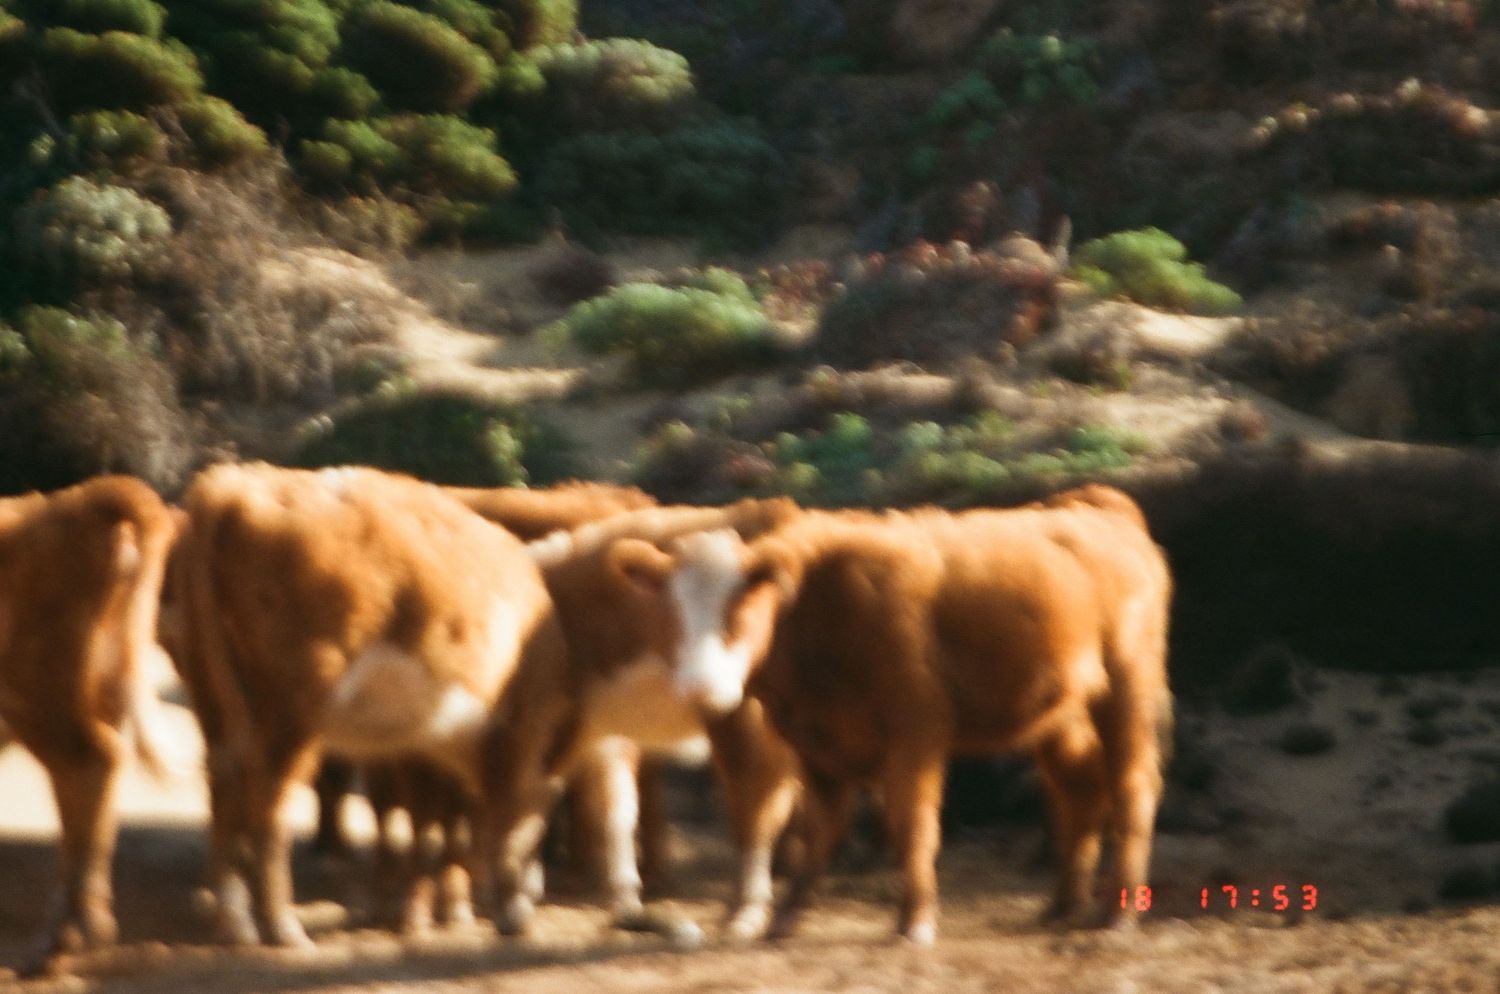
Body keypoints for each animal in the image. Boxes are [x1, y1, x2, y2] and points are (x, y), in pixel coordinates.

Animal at [169, 463, 577, 947]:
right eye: (542, 818)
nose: (528, 908)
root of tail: (236, 486)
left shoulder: (421, 746)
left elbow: (430, 820)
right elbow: (441, 820)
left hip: (213, 696)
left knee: (223, 784)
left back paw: (235, 922)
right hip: (293, 711)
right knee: (268, 796)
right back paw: (282, 926)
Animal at [525, 498, 804, 942]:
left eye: (738, 612)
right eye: (672, 615)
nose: (701, 687)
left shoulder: (746, 723)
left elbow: (754, 811)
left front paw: (746, 911)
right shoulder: (593, 727)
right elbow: (608, 808)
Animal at [609, 485, 1174, 944]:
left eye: (740, 608)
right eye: (669, 613)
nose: (701, 686)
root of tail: (1096, 505)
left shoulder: (916, 731)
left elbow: (912, 826)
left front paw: (915, 921)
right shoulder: (815, 742)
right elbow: (821, 829)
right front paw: (786, 918)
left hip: (1129, 684)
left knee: (1132, 787)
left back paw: (1117, 914)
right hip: (1061, 712)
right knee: (1080, 787)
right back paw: (1063, 905)